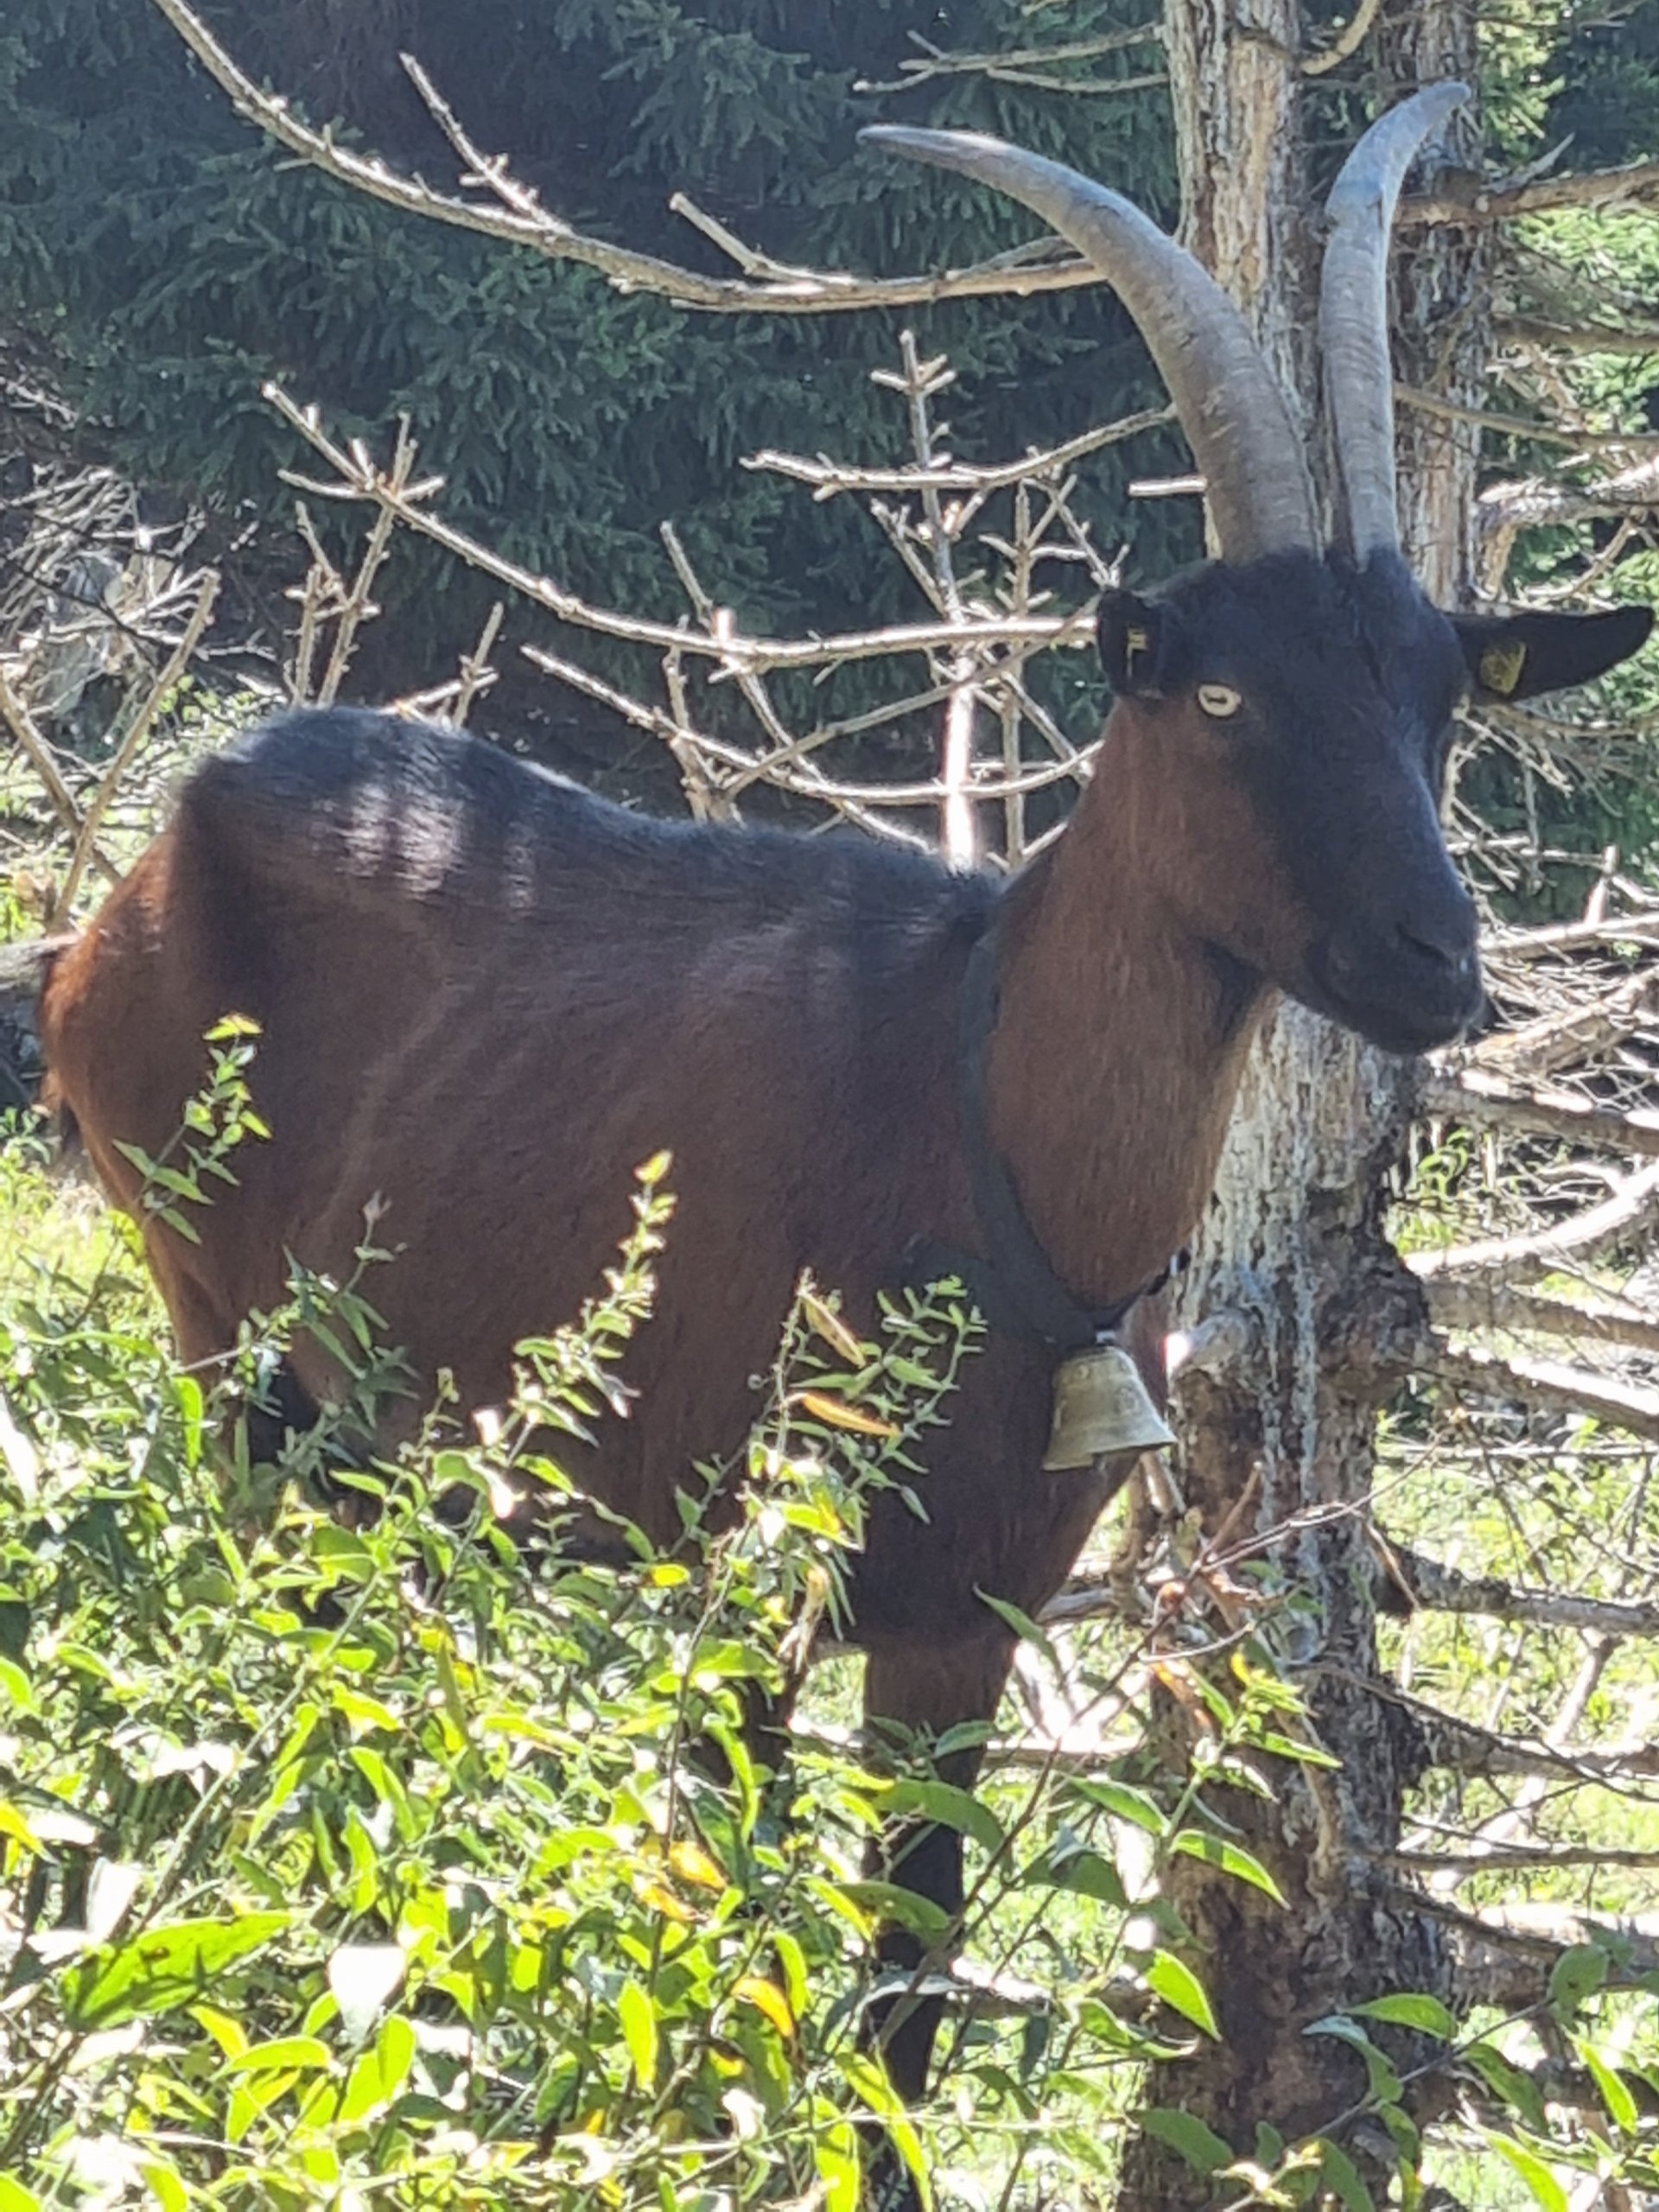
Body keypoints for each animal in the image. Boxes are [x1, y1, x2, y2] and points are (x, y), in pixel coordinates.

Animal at [10, 78, 1654, 2185]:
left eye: (1443, 696)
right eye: (1214, 691)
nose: (1434, 960)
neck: (970, 1115)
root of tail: (125, 892)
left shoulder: (962, 1616)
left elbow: (898, 2018)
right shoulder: (740, 1567)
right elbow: (733, 1953)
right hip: (228, 1343)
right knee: (259, 1640)